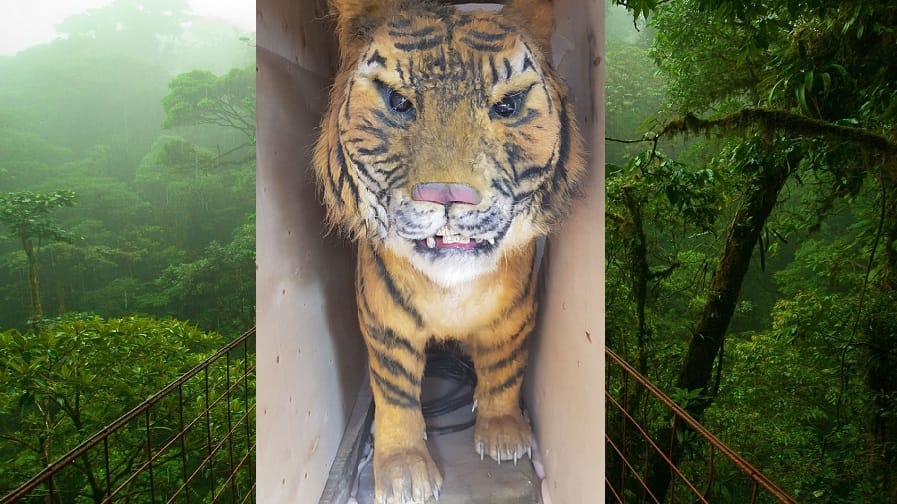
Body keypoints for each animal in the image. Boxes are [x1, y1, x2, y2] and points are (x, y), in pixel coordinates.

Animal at [312, 0, 585, 502]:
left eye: (506, 106)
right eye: (399, 102)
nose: (447, 195)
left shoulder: (516, 316)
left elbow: (504, 370)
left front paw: (503, 434)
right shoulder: (384, 322)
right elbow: (394, 393)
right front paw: (403, 469)